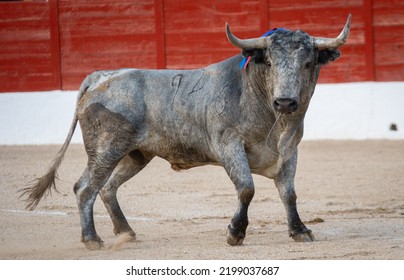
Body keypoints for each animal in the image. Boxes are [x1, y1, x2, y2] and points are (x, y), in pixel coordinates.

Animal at [22, 15, 350, 250]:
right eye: (268, 61)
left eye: (307, 63)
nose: (284, 101)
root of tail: (101, 75)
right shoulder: (229, 145)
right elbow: (246, 188)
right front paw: (235, 233)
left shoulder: (289, 150)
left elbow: (289, 193)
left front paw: (300, 230)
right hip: (105, 149)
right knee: (85, 188)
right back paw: (92, 239)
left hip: (135, 155)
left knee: (107, 187)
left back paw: (126, 232)